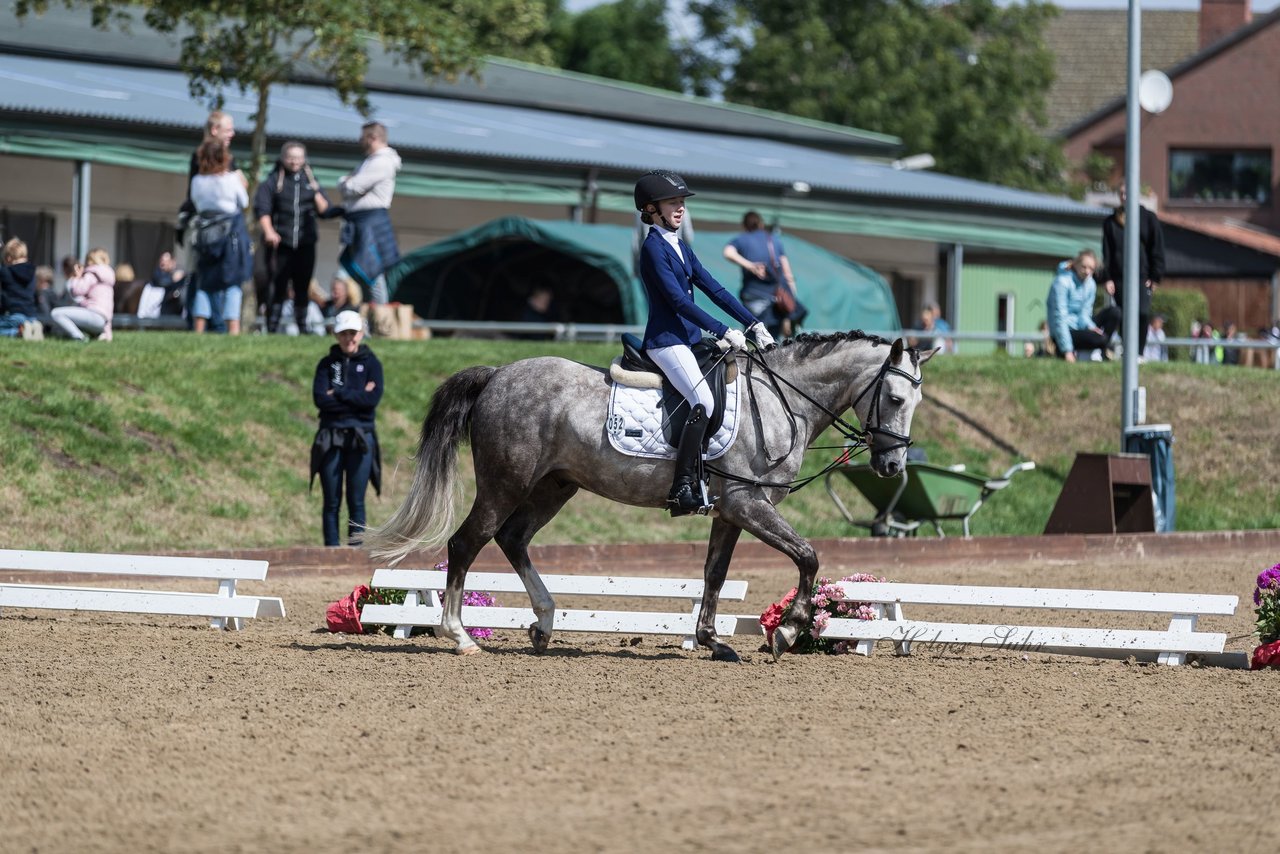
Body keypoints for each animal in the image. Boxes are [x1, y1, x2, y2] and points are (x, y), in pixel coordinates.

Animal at [366, 332, 936, 660]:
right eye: (894, 397)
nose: (891, 466)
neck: (780, 400)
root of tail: (498, 375)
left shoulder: (732, 510)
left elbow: (715, 572)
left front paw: (713, 642)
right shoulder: (748, 505)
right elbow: (808, 556)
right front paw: (787, 633)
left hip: (554, 487)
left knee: (512, 538)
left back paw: (544, 624)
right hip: (505, 482)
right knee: (467, 544)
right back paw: (460, 637)